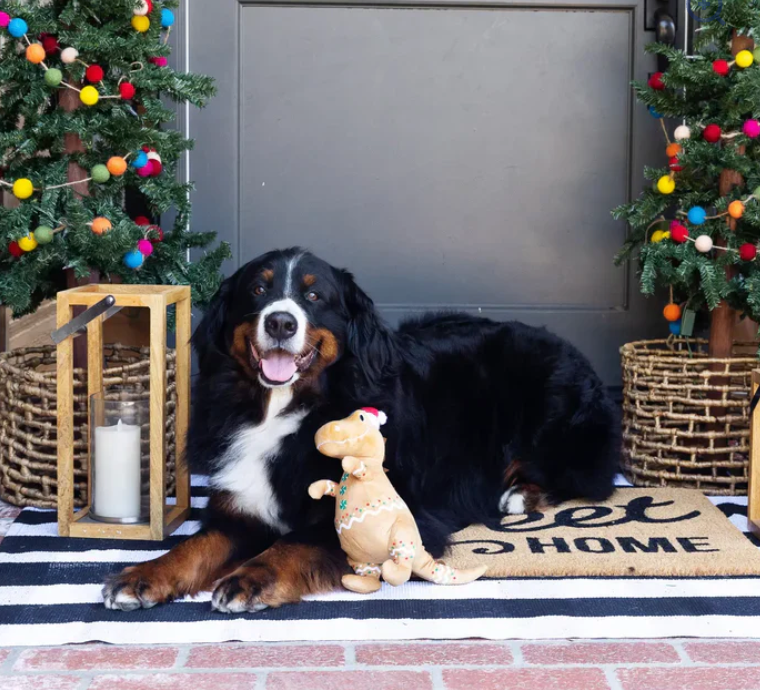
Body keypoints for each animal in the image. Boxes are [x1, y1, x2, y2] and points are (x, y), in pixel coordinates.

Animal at [102, 247, 616, 612]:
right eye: (258, 291)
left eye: (313, 296)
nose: (281, 321)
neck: (285, 411)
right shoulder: (240, 509)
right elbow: (194, 547)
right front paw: (142, 576)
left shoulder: (398, 517)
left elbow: (296, 543)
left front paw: (250, 577)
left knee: (589, 478)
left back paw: (518, 496)